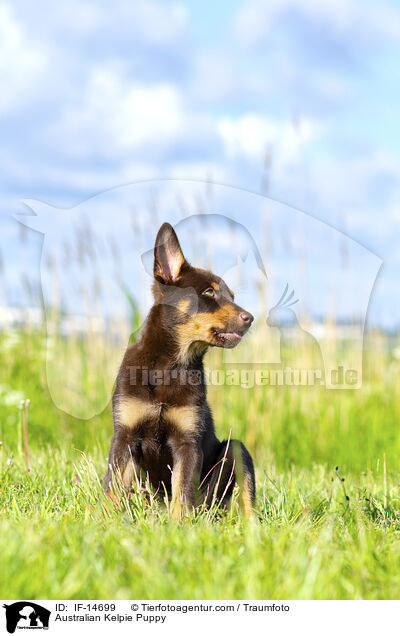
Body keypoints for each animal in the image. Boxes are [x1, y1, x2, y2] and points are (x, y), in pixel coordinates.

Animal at [104, 221, 256, 520]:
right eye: (209, 292)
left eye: (231, 296)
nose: (250, 319)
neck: (170, 365)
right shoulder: (124, 435)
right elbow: (112, 485)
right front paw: (101, 518)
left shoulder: (187, 442)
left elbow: (182, 489)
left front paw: (178, 524)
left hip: (235, 451)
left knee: (245, 498)